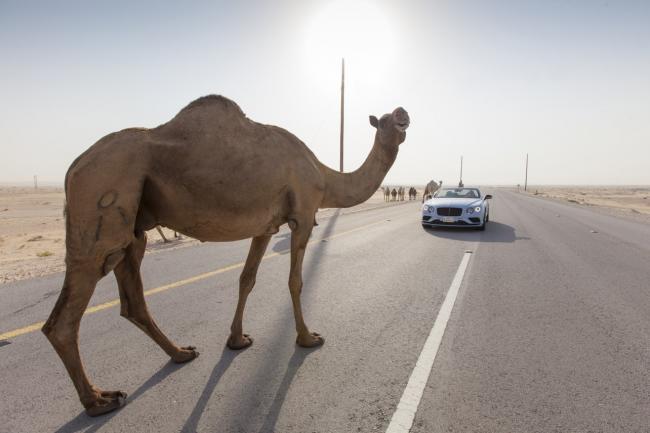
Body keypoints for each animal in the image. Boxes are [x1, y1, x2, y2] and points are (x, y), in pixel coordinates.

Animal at [40, 94, 408, 416]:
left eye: (395, 116)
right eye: (384, 121)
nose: (403, 112)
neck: (324, 177)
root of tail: (73, 167)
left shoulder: (265, 226)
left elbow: (247, 278)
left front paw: (237, 339)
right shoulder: (303, 214)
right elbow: (295, 281)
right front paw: (307, 338)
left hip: (132, 229)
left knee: (132, 299)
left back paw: (180, 353)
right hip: (101, 205)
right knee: (64, 319)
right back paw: (99, 400)